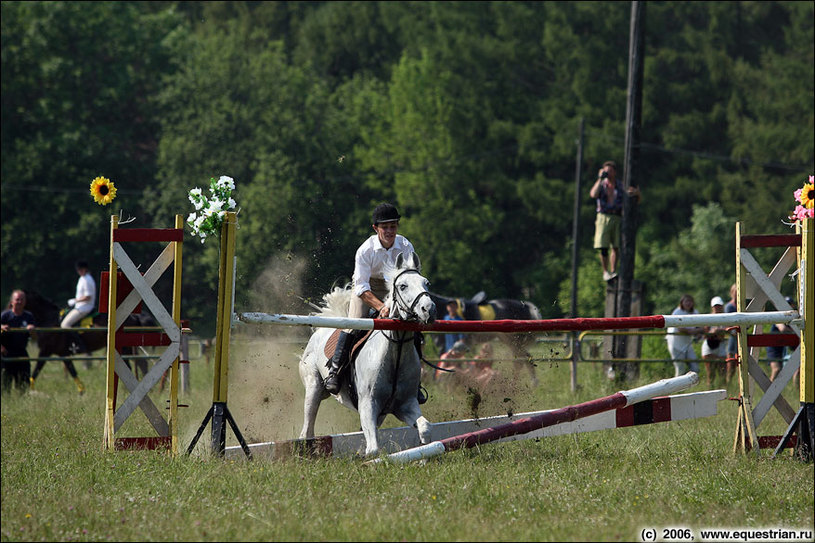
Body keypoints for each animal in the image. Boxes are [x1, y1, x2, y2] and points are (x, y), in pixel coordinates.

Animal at [300, 253, 436, 456]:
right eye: (403, 286)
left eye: (426, 283)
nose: (429, 309)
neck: (395, 353)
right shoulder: (367, 405)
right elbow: (373, 449)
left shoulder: (405, 404)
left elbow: (425, 427)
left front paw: (423, 455)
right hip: (314, 388)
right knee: (307, 430)